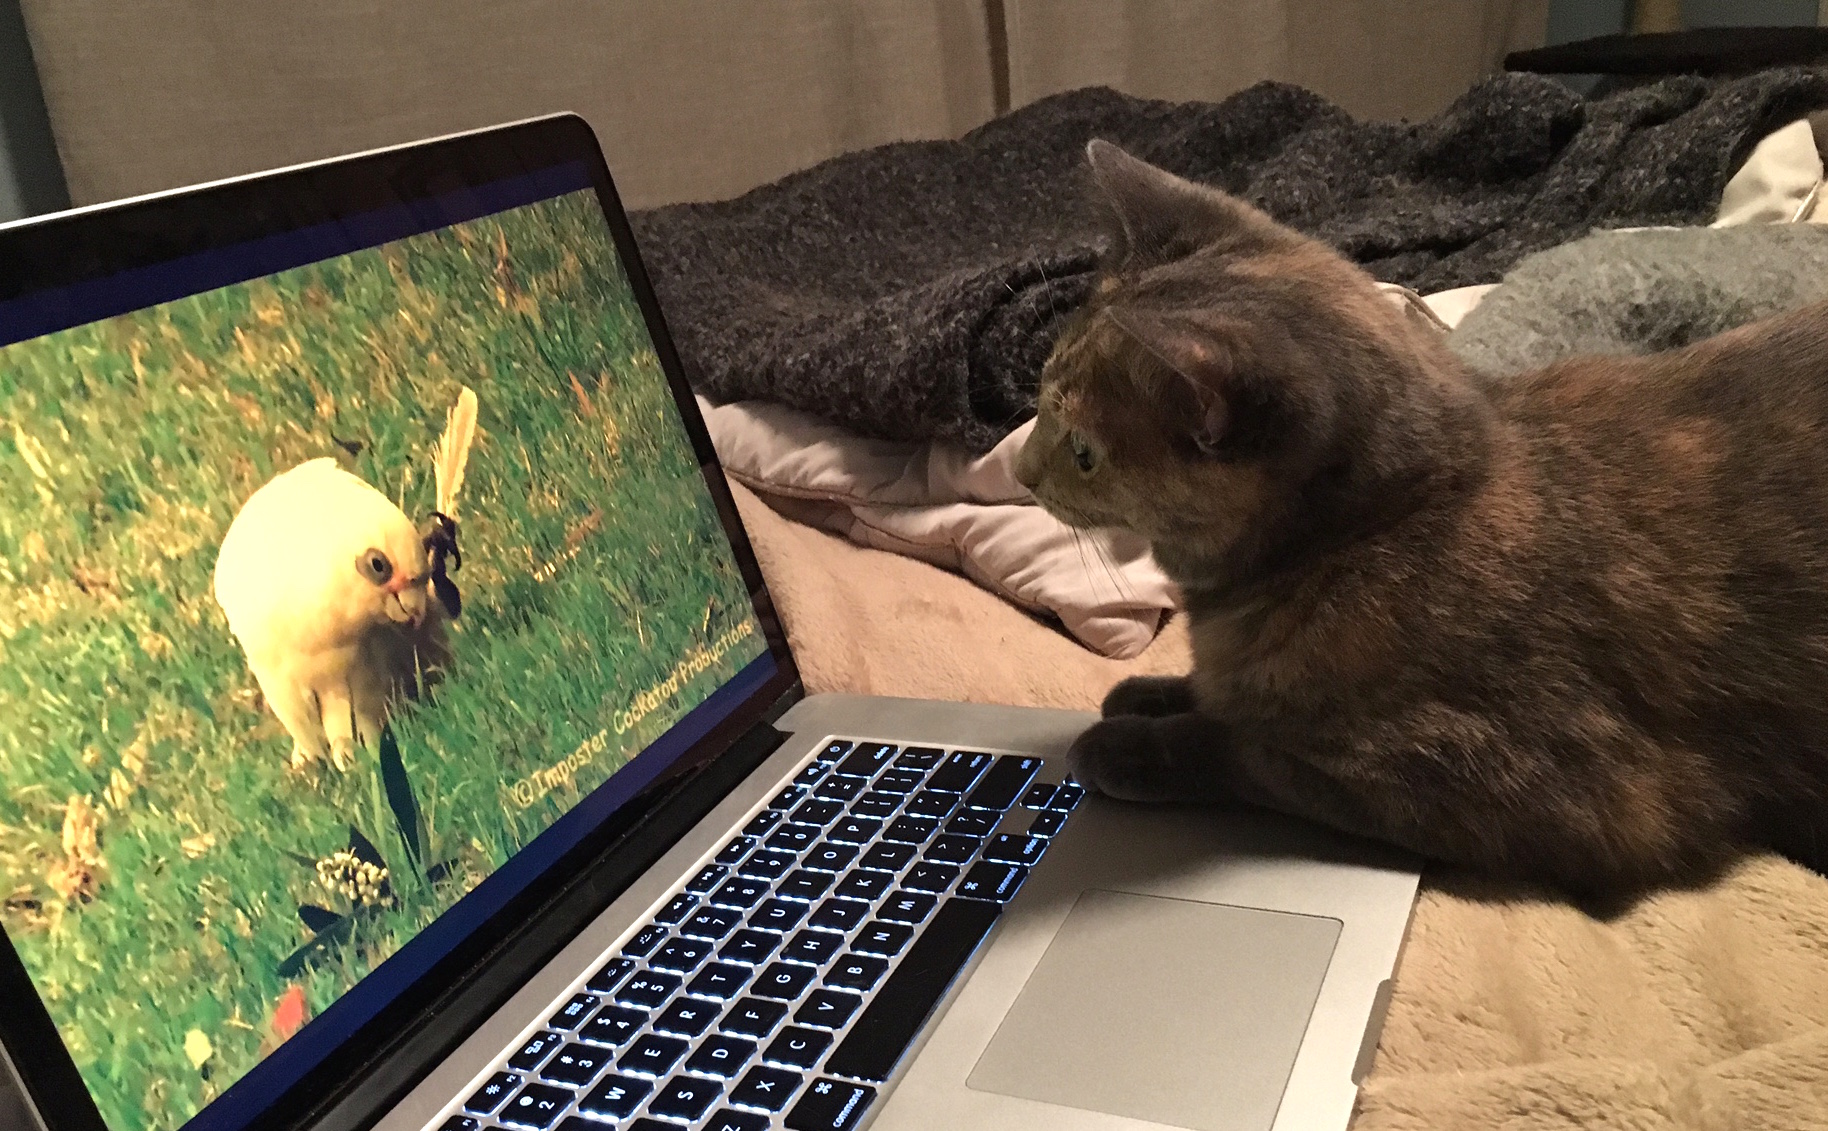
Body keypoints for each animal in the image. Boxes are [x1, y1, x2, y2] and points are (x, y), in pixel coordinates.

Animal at [1016, 139, 1828, 895]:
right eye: (1040, 394)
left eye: (1084, 451)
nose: (1020, 472)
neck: (1378, 528)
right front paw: (1150, 692)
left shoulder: (1549, 793)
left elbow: (1251, 750)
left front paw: (1128, 741)